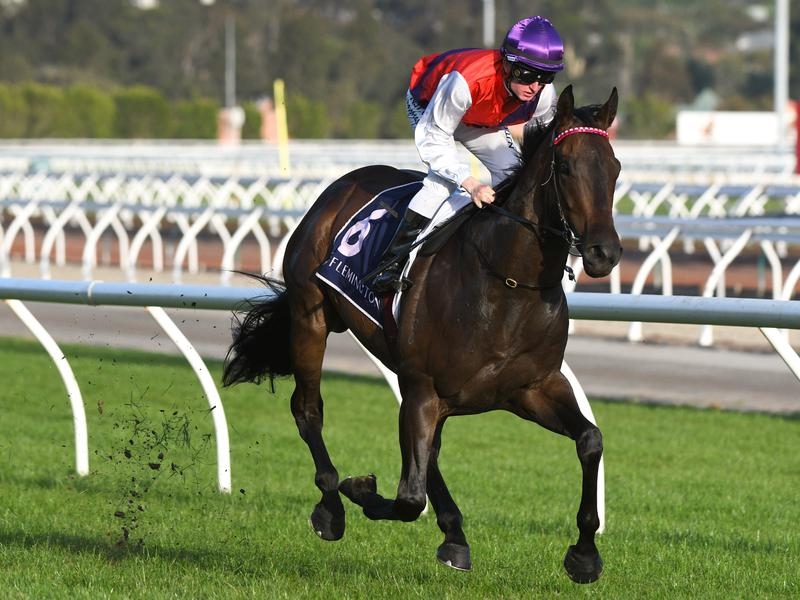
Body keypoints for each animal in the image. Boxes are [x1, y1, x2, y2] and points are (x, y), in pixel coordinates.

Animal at [223, 85, 621, 583]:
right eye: (565, 167)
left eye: (615, 168)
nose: (605, 253)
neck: (507, 283)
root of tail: (339, 188)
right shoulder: (423, 389)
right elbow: (408, 499)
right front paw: (360, 489)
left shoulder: (532, 388)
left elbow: (591, 440)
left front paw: (584, 554)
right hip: (310, 318)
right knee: (308, 410)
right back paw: (332, 507)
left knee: (427, 452)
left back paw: (453, 534)